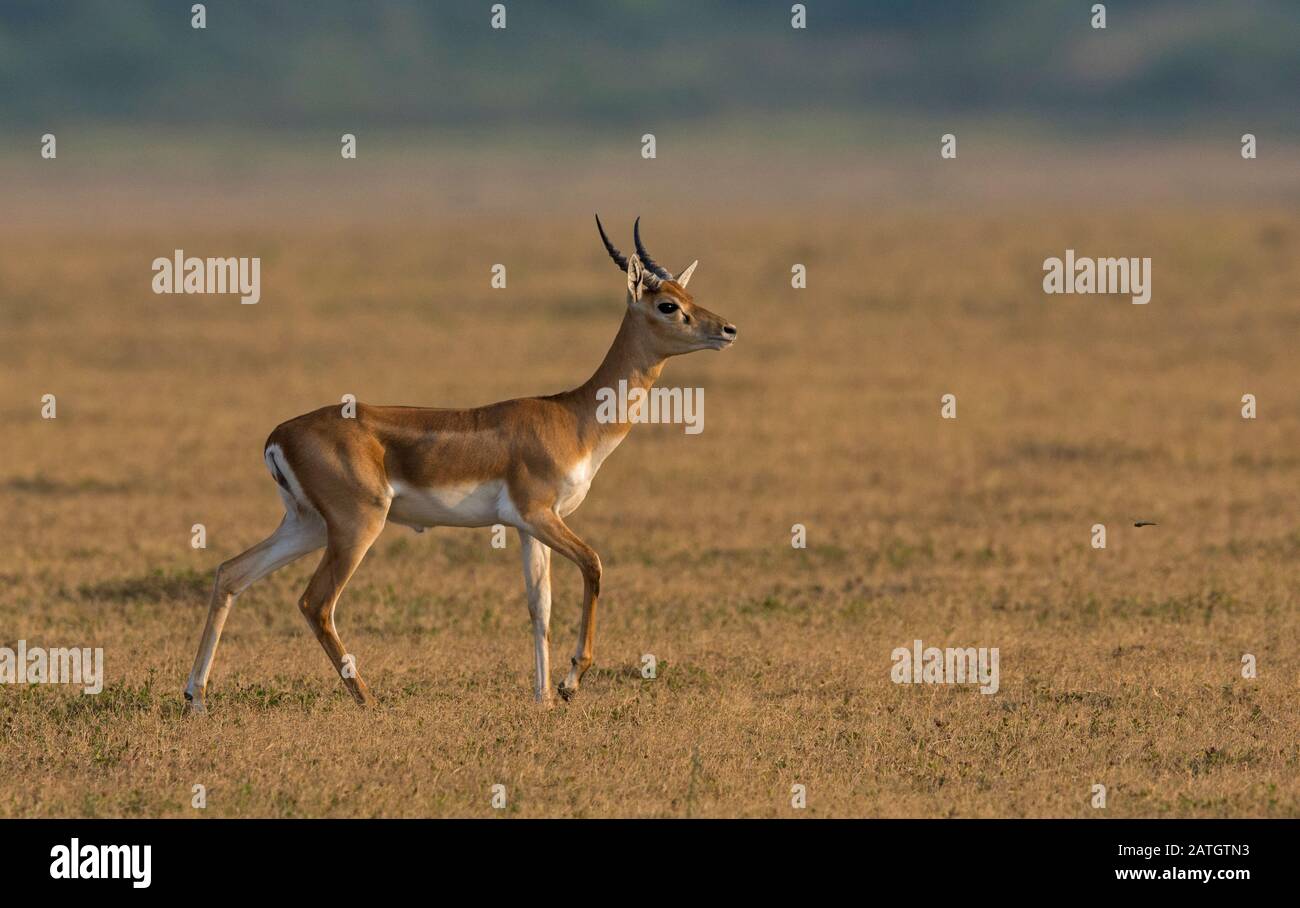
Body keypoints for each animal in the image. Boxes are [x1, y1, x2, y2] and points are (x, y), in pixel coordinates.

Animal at [182, 217, 738, 707]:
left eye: (688, 296)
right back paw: (370, 701)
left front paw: (542, 699)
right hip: (356, 527)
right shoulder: (539, 514)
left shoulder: (527, 527)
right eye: (668, 305)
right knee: (315, 603)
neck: (572, 416)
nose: (728, 329)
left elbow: (540, 606)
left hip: (308, 526)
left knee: (231, 573)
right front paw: (569, 684)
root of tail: (279, 435)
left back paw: (196, 698)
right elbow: (594, 565)